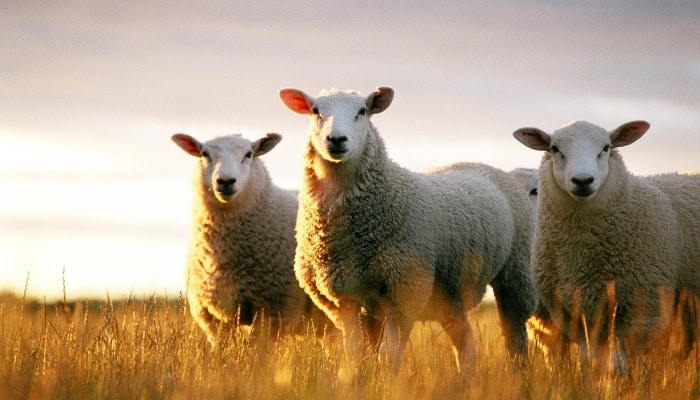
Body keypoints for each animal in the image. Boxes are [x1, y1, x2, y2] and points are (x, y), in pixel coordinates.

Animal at [278, 86, 536, 380]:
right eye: (315, 111)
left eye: (362, 111)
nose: (337, 140)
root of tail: (478, 163)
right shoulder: (344, 298)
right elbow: (355, 354)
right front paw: (356, 382)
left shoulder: (404, 291)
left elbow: (388, 355)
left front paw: (387, 383)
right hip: (449, 294)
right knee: (467, 345)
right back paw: (465, 382)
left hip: (514, 273)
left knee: (515, 338)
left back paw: (519, 378)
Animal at [512, 119, 700, 372]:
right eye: (554, 149)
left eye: (606, 148)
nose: (583, 180)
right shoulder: (573, 315)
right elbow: (589, 361)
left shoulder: (643, 310)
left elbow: (626, 363)